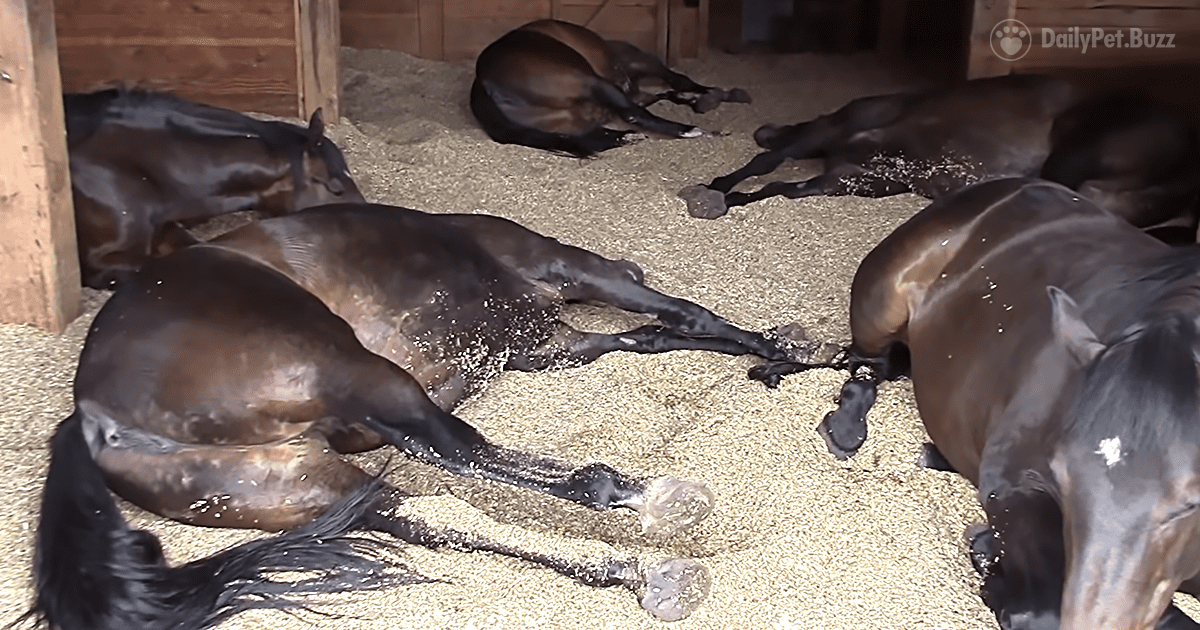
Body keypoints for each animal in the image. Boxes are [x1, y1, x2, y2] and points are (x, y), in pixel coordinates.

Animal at [30, 202, 797, 630]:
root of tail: (90, 413)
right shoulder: (572, 280)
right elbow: (681, 316)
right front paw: (780, 350)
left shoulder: (545, 347)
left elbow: (645, 339)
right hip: (349, 371)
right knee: (463, 452)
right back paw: (655, 500)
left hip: (295, 483)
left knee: (433, 516)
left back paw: (645, 575)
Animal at [470, 19, 751, 157]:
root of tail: (484, 82)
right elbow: (678, 82)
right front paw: (707, 95)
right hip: (591, 82)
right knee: (634, 113)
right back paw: (691, 130)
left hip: (570, 122)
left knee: (590, 136)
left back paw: (626, 137)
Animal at [679, 76, 1200, 244]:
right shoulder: (843, 159)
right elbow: (769, 174)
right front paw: (720, 191)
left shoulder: (850, 167)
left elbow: (773, 177)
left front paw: (719, 195)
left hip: (1075, 154)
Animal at [752, 177, 1200, 629]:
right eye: (1062, 473)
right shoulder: (1012, 486)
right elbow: (1037, 607)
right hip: (880, 311)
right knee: (864, 365)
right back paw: (836, 421)